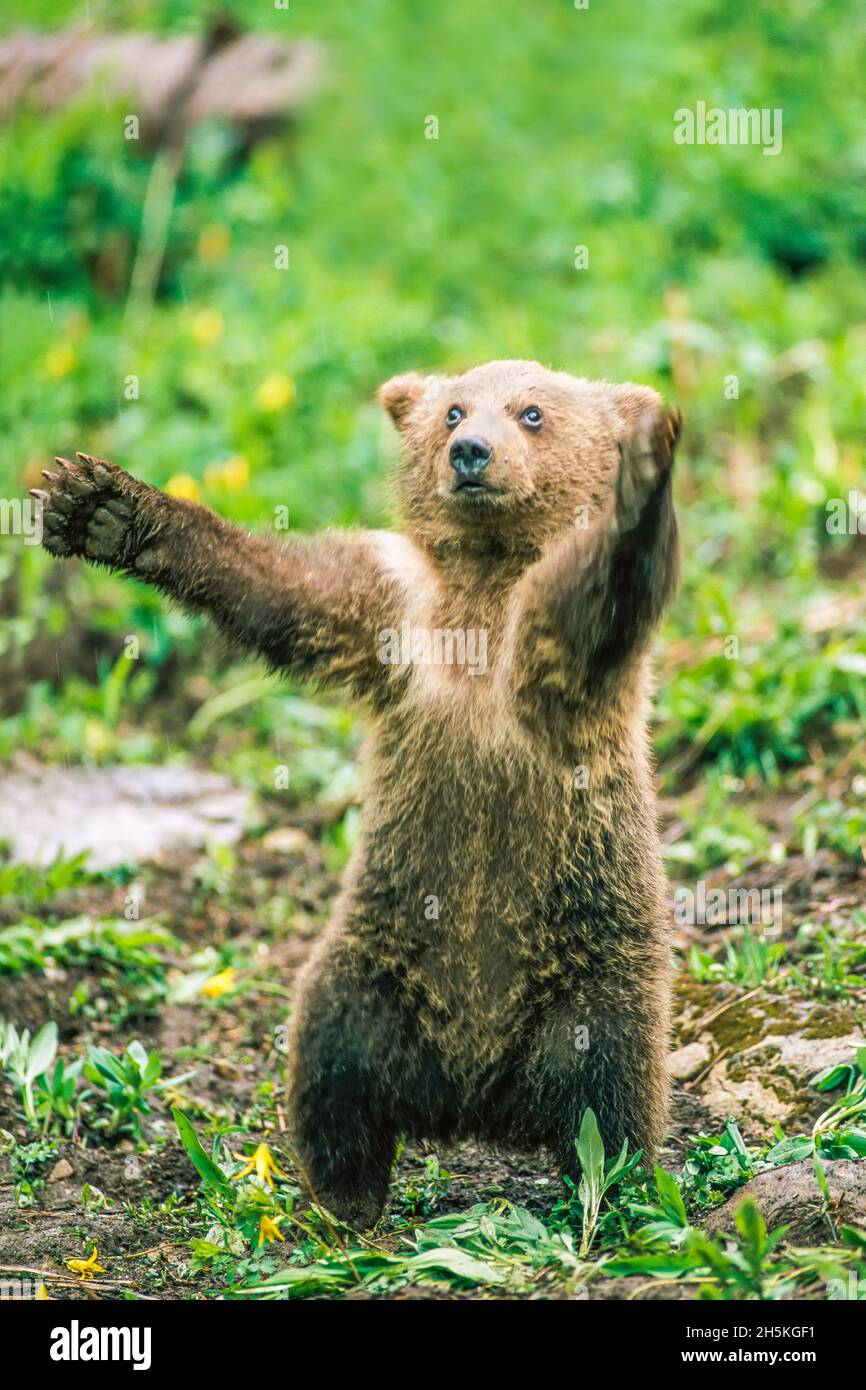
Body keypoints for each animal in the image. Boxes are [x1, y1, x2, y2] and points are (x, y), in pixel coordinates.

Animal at [33, 359, 681, 1229]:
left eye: (532, 412)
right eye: (453, 410)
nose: (472, 453)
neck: (483, 584)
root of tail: (478, 1098)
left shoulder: (548, 658)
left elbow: (605, 596)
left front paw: (645, 485)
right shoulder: (393, 610)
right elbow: (281, 591)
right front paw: (101, 506)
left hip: (589, 974)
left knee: (607, 1097)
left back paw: (611, 1193)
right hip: (374, 968)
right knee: (333, 1067)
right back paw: (347, 1195)